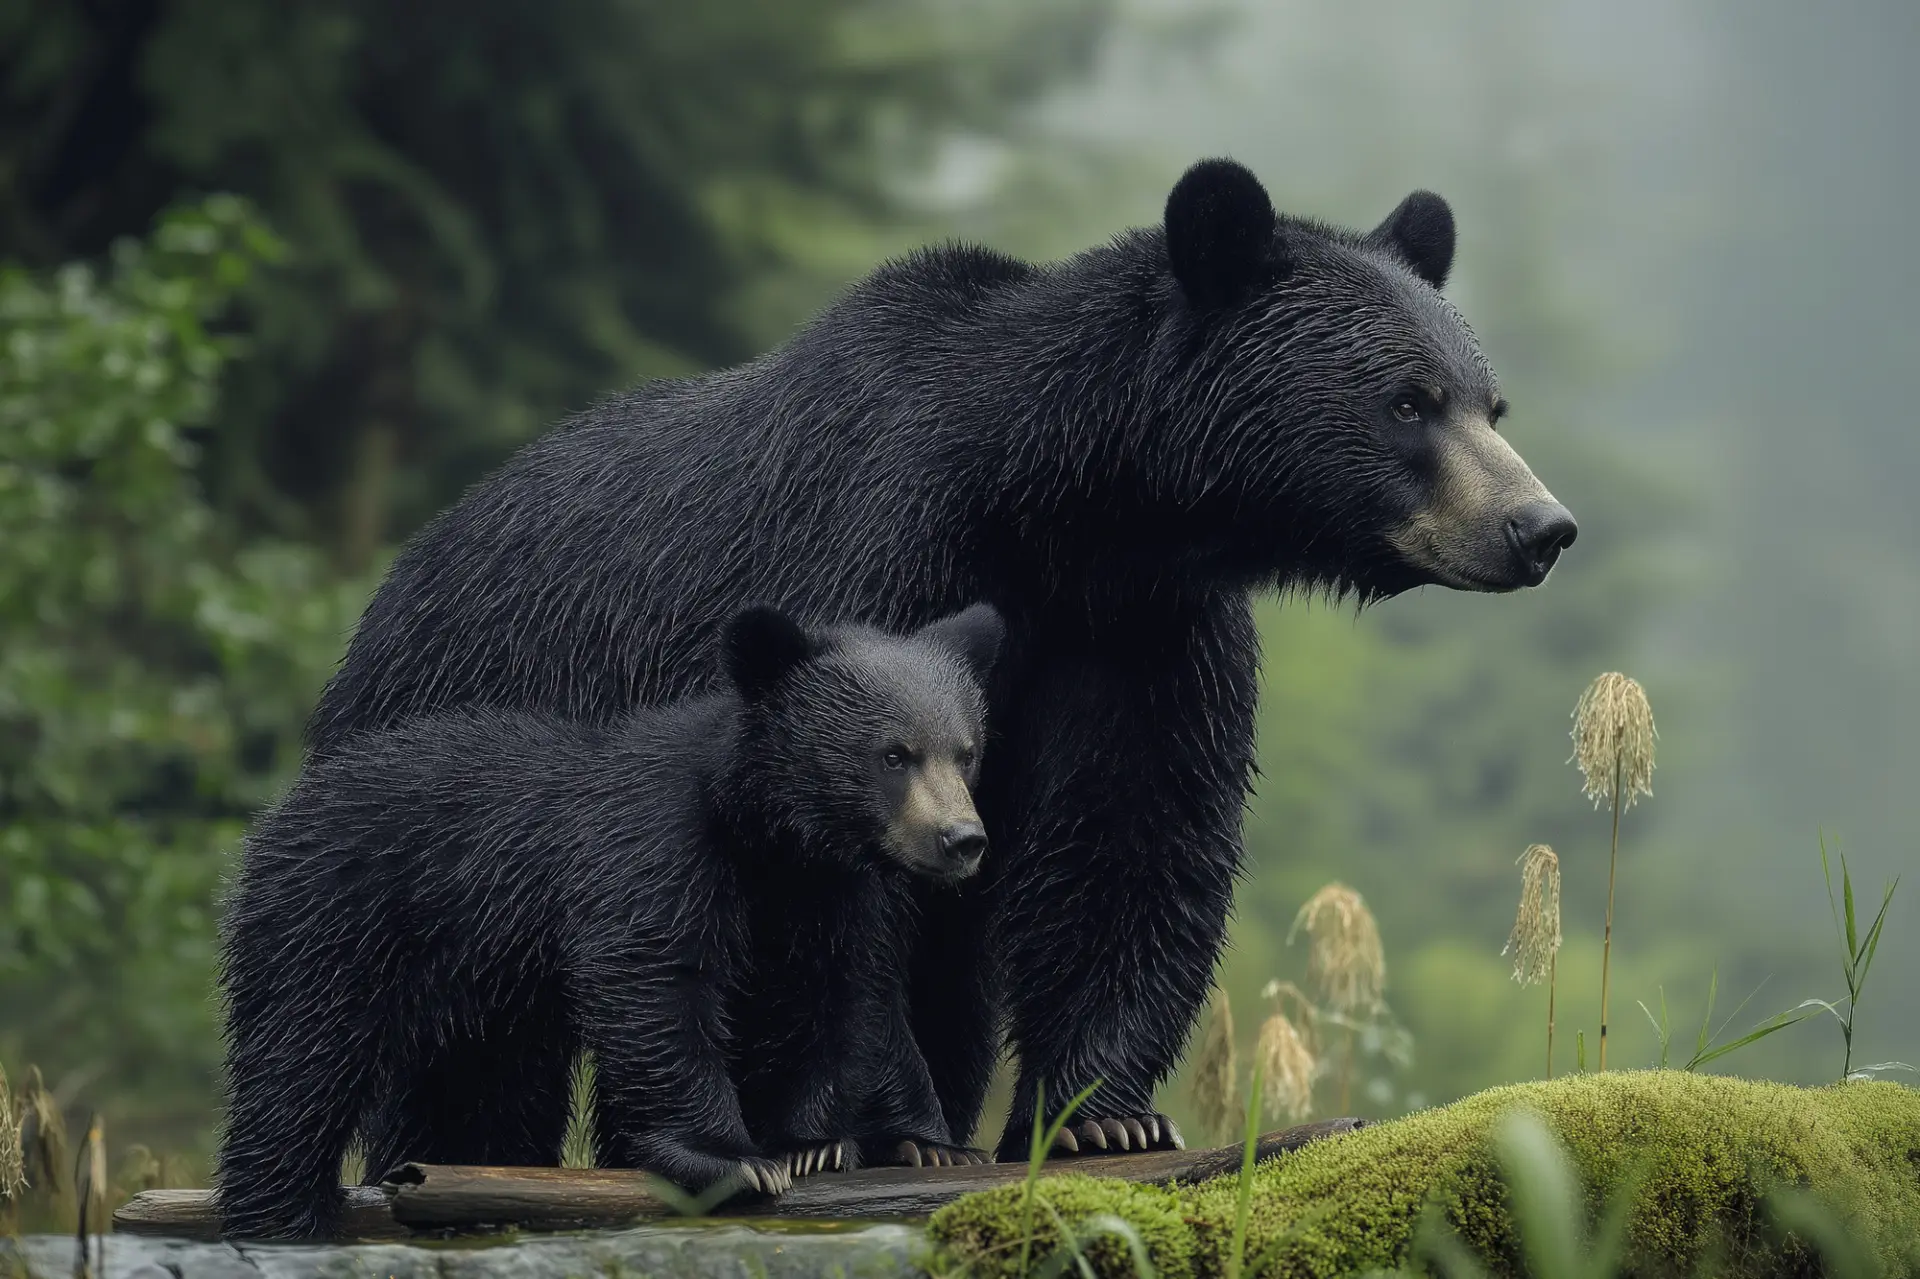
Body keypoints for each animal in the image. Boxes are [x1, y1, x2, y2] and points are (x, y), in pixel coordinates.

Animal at [215, 602, 1006, 1239]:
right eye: (894, 754)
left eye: (966, 751)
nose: (962, 840)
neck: (768, 841)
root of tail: (283, 811)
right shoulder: (654, 850)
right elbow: (657, 983)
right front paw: (733, 1158)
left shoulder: (829, 900)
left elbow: (832, 996)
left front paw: (811, 1143)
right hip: (338, 924)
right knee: (300, 1069)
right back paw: (279, 1213)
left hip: (483, 997)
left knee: (486, 1096)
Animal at [304, 157, 1576, 1161]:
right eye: (1408, 402)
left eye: (1491, 402)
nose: (1541, 526)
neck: (1064, 507)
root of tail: (388, 592)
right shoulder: (878, 558)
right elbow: (855, 871)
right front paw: (895, 1127)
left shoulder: (1139, 629)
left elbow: (1136, 833)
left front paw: (1102, 1114)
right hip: (469, 775)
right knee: (474, 1042)